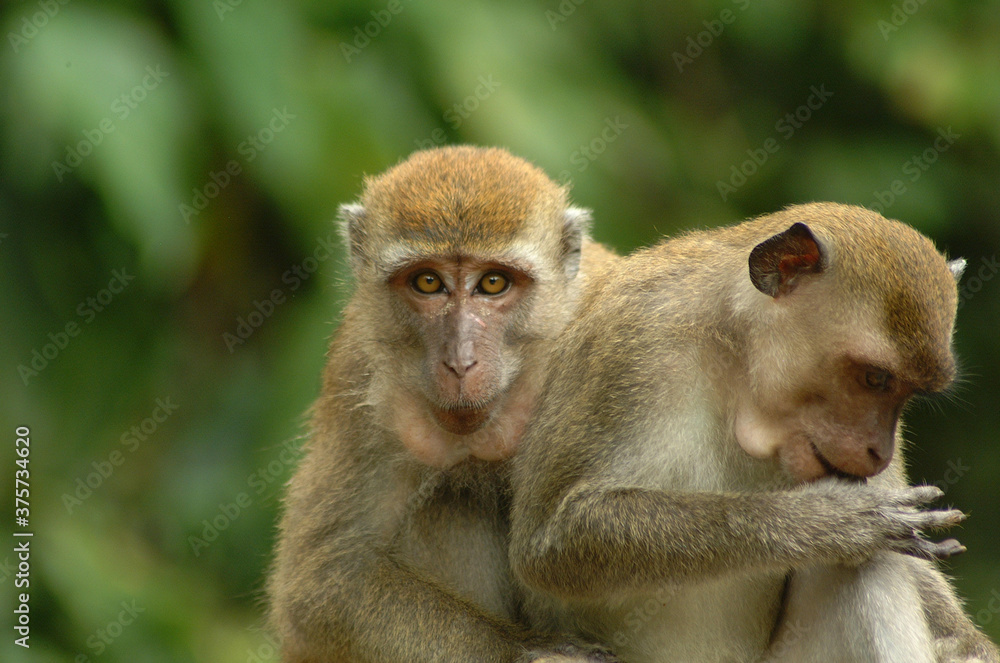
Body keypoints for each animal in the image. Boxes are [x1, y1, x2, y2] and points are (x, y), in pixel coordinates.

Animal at [270, 147, 620, 663]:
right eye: (428, 282)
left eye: (493, 283)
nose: (460, 361)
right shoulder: (358, 368)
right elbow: (325, 577)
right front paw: (532, 652)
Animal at [512, 204, 996, 663]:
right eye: (875, 378)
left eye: (908, 392)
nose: (880, 451)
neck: (735, 355)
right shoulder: (633, 343)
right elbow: (553, 540)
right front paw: (835, 521)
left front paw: (968, 646)